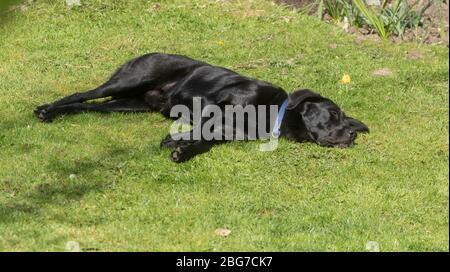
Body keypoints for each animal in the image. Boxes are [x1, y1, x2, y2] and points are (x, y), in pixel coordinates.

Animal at [33, 53, 368, 162]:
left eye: (349, 124)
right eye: (333, 114)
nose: (352, 136)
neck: (273, 113)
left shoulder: (228, 131)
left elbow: (205, 139)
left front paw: (181, 148)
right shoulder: (216, 104)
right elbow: (202, 128)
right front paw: (176, 141)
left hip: (127, 105)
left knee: (87, 106)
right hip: (129, 80)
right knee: (81, 93)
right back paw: (46, 110)